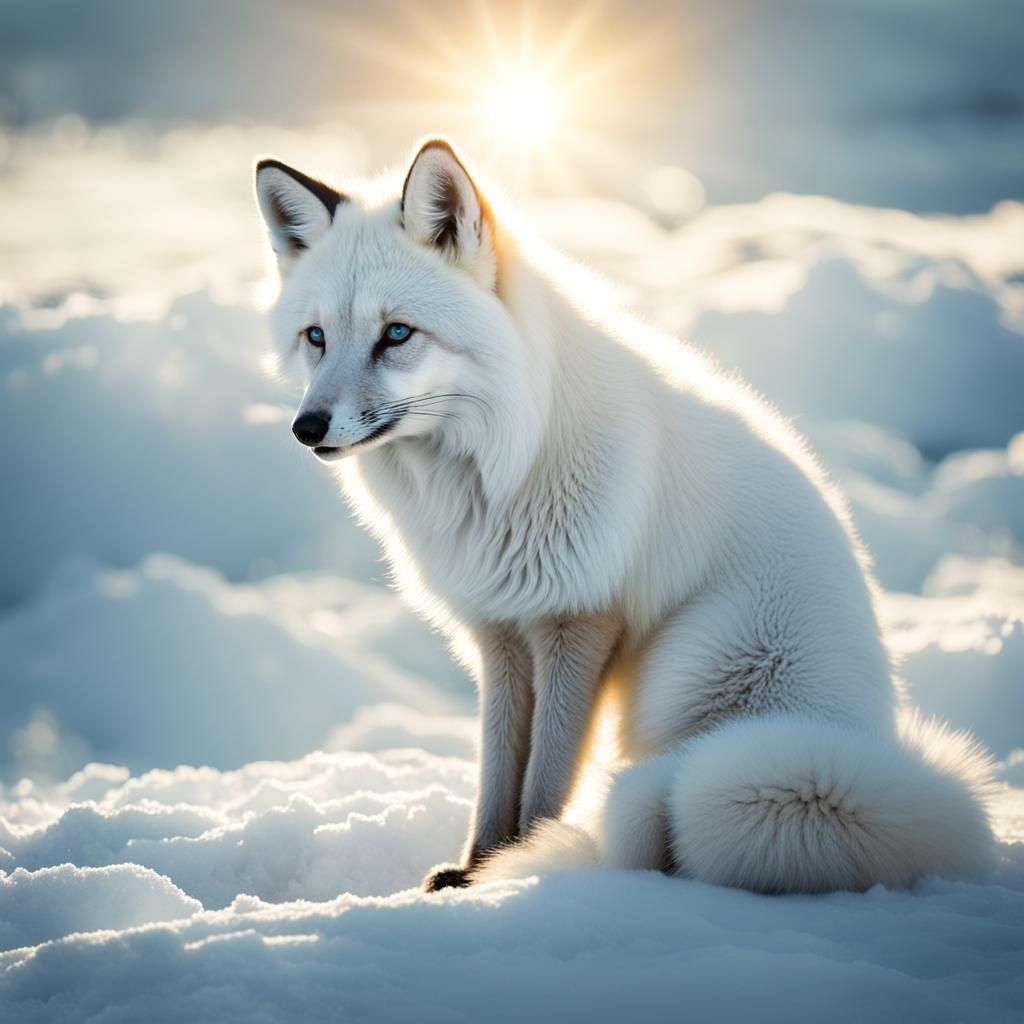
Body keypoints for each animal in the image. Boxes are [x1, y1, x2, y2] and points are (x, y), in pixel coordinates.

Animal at [253, 138, 994, 894]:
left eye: (397, 333)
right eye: (316, 337)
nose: (307, 428)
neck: (501, 469)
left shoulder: (578, 617)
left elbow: (545, 779)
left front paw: (520, 865)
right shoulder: (499, 629)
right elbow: (496, 772)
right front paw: (478, 867)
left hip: (682, 680)